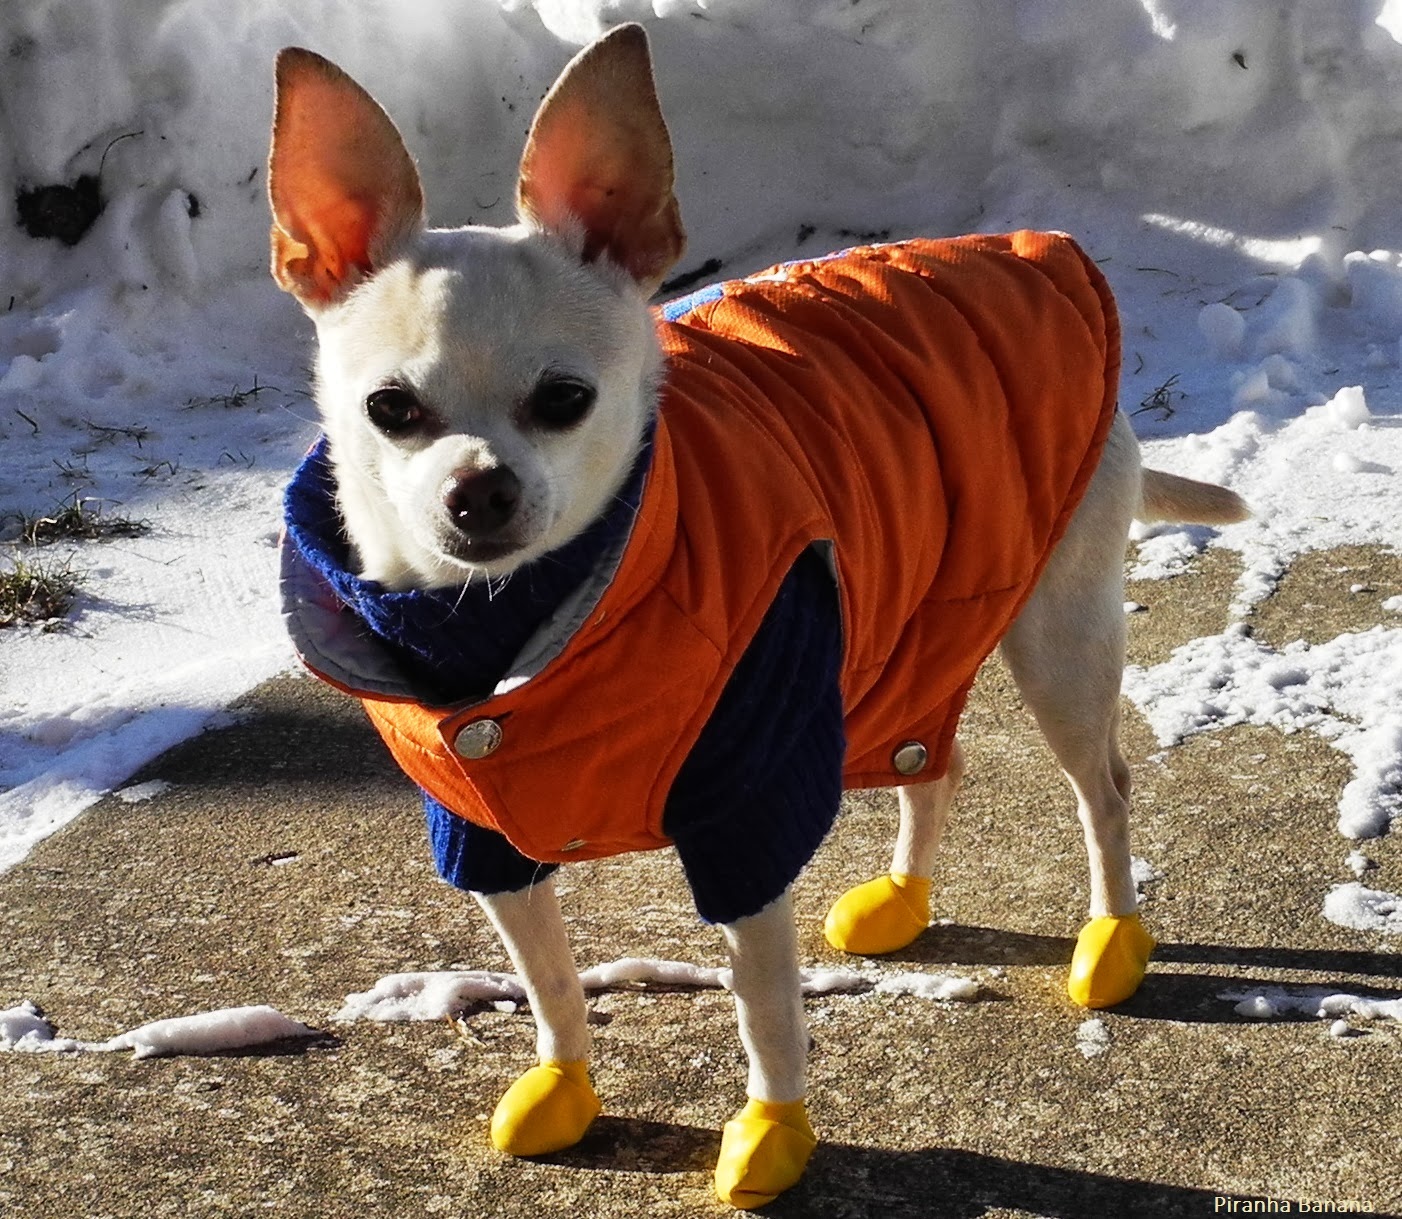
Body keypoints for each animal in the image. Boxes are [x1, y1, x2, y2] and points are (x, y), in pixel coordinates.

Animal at [267, 21, 1244, 1206]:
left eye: (565, 400)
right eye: (390, 409)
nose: (480, 490)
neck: (524, 624)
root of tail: (1038, 247)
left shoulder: (746, 818)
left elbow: (767, 1010)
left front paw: (773, 1131)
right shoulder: (487, 835)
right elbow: (549, 981)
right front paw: (565, 1081)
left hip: (1056, 636)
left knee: (1103, 787)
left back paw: (1111, 940)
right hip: (901, 625)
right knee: (936, 759)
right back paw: (904, 898)